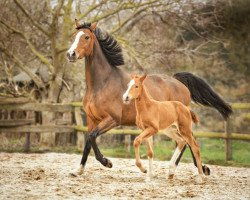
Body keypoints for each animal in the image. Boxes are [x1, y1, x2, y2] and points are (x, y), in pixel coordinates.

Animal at [67, 19, 232, 175]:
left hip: (179, 122)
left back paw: (178, 169)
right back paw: (198, 168)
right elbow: (88, 141)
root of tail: (179, 82)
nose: (70, 54)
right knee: (187, 141)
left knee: (187, 141)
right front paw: (78, 170)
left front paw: (107, 162)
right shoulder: (91, 119)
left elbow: (92, 137)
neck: (102, 83)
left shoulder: (112, 119)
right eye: (74, 36)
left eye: (86, 37)